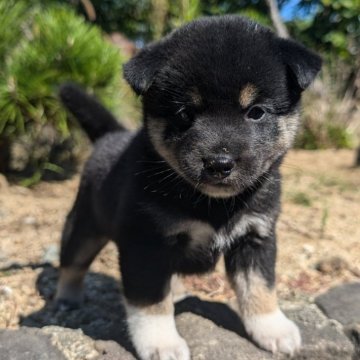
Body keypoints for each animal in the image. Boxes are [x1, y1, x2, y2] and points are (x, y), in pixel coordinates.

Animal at [56, 15, 320, 360]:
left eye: (256, 111)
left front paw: (272, 328)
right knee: (72, 261)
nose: (219, 163)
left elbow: (260, 286)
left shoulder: (256, 235)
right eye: (185, 113)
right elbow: (150, 301)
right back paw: (67, 297)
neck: (213, 204)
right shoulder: (145, 242)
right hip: (85, 225)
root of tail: (109, 136)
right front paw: (161, 342)